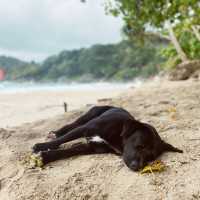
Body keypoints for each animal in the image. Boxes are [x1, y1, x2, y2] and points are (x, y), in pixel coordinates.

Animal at [32, 105, 183, 171]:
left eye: (150, 157)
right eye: (140, 146)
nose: (137, 167)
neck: (117, 136)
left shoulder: (92, 147)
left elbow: (67, 152)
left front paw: (45, 158)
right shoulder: (85, 129)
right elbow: (61, 140)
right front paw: (41, 146)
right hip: (87, 117)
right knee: (70, 125)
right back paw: (55, 133)